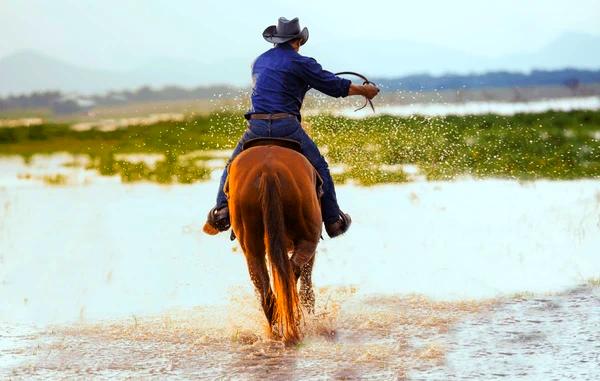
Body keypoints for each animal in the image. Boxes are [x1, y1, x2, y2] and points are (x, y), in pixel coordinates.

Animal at [204, 143, 322, 344]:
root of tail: (268, 172)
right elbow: (307, 289)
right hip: (307, 239)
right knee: (291, 278)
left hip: (252, 246)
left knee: (267, 290)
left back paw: (277, 331)